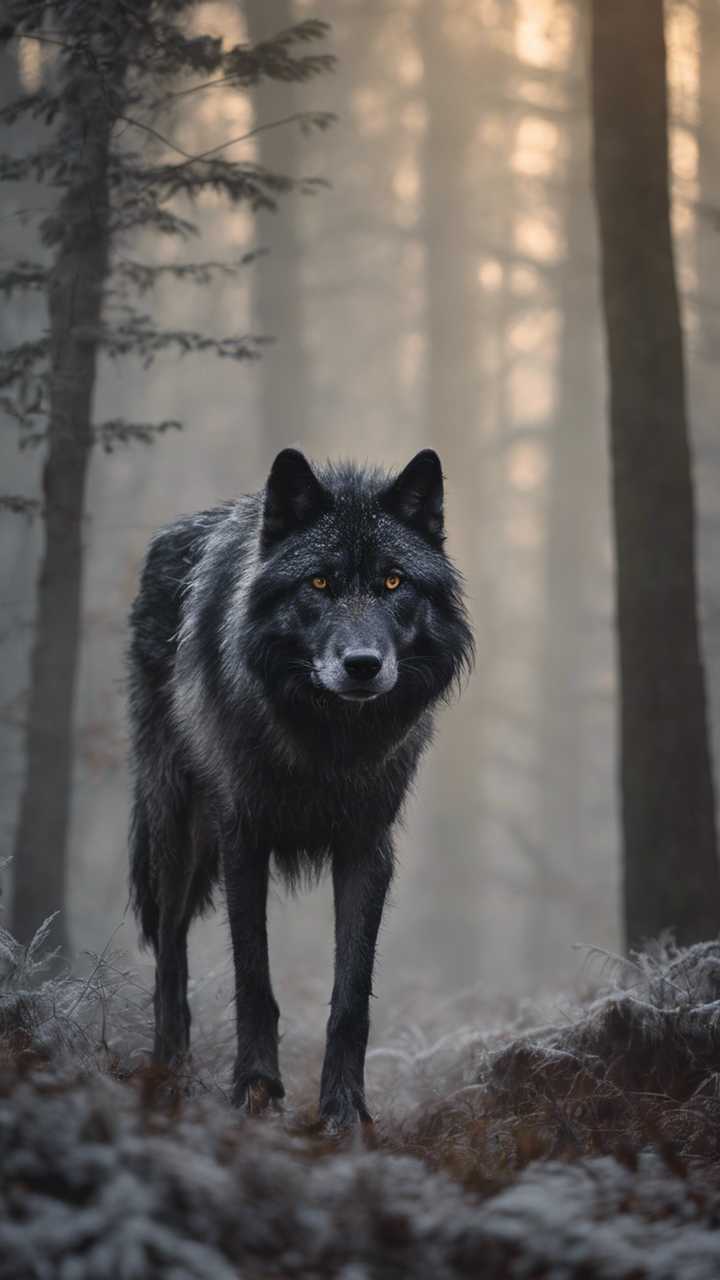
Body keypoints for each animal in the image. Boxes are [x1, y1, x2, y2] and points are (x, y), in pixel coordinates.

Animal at [128, 448, 473, 1128]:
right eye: (318, 583)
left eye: (393, 583)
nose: (363, 665)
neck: (328, 745)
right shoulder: (243, 839)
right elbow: (254, 980)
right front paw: (255, 1089)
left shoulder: (367, 848)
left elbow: (351, 999)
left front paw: (344, 1110)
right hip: (175, 832)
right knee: (170, 953)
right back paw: (169, 1076)